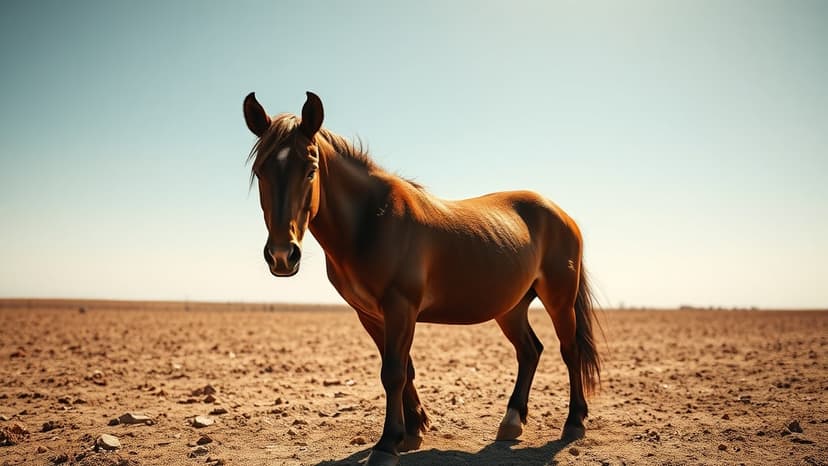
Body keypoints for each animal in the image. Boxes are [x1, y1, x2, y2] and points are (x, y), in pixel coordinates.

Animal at [242, 91, 602, 466]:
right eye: (260, 171)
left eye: (311, 169)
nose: (282, 255)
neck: (372, 221)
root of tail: (561, 214)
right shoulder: (371, 314)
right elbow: (403, 369)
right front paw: (413, 430)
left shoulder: (401, 307)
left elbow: (394, 373)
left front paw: (387, 444)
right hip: (510, 307)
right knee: (530, 351)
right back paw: (512, 421)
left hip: (559, 299)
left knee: (569, 350)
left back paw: (574, 423)